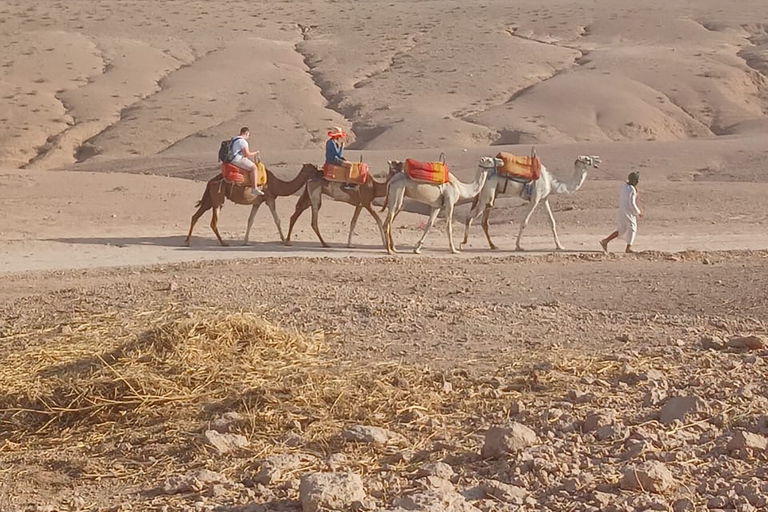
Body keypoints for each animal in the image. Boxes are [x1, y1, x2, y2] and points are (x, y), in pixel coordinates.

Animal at [186, 163, 320, 245]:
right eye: (312, 168)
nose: (319, 171)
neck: (277, 184)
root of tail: (210, 181)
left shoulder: (257, 202)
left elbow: (250, 220)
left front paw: (246, 241)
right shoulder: (269, 198)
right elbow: (277, 220)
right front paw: (284, 241)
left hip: (210, 199)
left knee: (195, 216)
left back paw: (187, 242)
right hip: (218, 197)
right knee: (213, 221)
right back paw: (223, 243)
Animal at [460, 156, 604, 252]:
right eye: (587, 159)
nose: (598, 160)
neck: (551, 182)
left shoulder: (544, 199)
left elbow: (552, 222)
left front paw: (560, 246)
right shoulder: (535, 199)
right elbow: (524, 222)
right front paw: (518, 246)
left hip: (492, 195)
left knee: (484, 221)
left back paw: (493, 245)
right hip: (487, 195)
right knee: (470, 216)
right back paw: (463, 243)